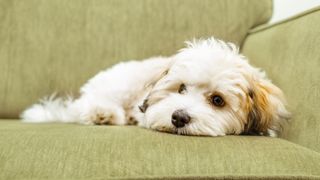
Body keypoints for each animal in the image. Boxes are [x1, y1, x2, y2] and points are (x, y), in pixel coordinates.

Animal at [20, 37, 290, 136]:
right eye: (181, 88)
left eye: (217, 100)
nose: (178, 117)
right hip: (120, 85)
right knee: (83, 107)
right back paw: (103, 114)